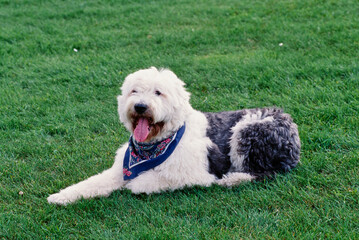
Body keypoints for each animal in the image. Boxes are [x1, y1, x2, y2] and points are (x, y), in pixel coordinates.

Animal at [47, 67, 300, 204]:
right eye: (134, 91)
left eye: (159, 92)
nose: (140, 106)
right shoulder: (119, 169)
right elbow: (94, 182)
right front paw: (61, 197)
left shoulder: (196, 174)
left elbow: (148, 181)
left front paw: (136, 183)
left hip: (249, 131)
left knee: (267, 172)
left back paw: (233, 180)